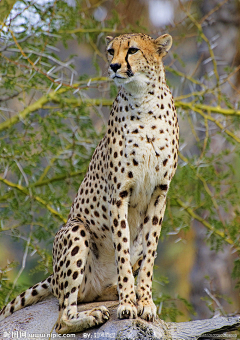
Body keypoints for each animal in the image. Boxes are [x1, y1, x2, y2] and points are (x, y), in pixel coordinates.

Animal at [0, 33, 179, 334]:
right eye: (110, 51)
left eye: (133, 50)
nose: (115, 66)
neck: (143, 98)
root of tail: (53, 276)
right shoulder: (119, 193)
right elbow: (122, 250)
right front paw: (128, 304)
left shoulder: (159, 193)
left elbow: (150, 254)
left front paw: (145, 301)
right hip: (75, 231)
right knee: (62, 317)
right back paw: (94, 314)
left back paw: (116, 293)